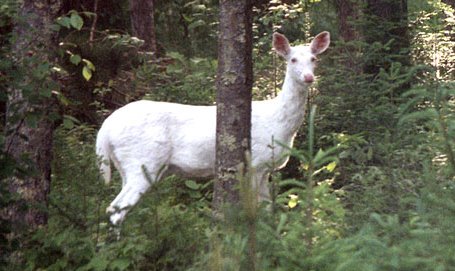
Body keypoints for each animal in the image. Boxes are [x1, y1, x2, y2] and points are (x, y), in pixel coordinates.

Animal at [97, 31, 332, 225]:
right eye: (292, 59)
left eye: (313, 59)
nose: (308, 77)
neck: (279, 125)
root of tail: (105, 129)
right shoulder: (255, 162)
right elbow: (255, 209)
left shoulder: (266, 168)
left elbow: (268, 208)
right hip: (143, 161)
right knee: (116, 209)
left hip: (126, 165)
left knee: (113, 208)